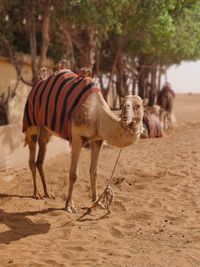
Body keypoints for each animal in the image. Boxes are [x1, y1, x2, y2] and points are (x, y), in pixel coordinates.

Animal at [23, 68, 148, 214]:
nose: (125, 117)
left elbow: (94, 172)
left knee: (41, 158)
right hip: (31, 120)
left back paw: (48, 193)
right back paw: (36, 193)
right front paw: (69, 206)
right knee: (32, 157)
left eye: (138, 105)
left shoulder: (98, 140)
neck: (98, 116)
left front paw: (97, 202)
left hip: (45, 129)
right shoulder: (77, 136)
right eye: (122, 105)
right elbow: (73, 174)